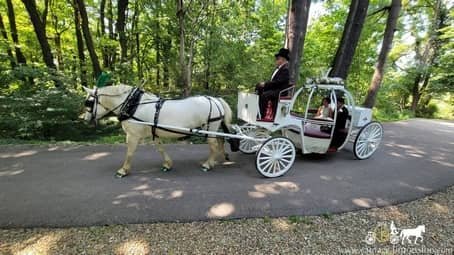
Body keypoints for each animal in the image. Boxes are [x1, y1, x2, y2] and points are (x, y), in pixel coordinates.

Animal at [83, 84, 232, 176]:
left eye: (89, 102)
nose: (85, 118)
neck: (133, 105)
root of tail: (215, 99)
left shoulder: (133, 135)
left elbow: (129, 153)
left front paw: (123, 170)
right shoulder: (154, 132)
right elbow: (160, 148)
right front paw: (167, 164)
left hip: (210, 127)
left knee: (214, 145)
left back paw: (208, 164)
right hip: (212, 128)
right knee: (220, 140)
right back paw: (221, 157)